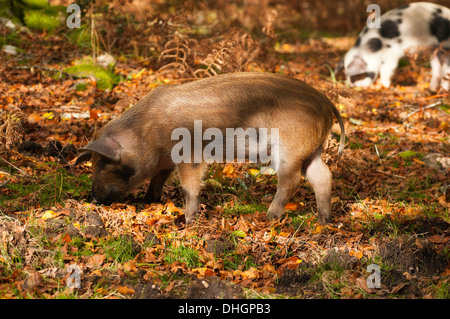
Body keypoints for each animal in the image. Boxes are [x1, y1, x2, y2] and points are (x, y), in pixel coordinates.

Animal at [75, 72, 346, 225]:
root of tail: (326, 101)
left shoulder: (190, 155)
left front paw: (187, 221)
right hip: (312, 150)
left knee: (291, 180)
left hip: (289, 148)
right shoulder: (164, 161)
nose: (94, 197)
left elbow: (189, 186)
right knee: (322, 176)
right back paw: (324, 220)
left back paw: (269, 217)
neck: (145, 133)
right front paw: (148, 201)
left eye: (103, 163)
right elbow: (158, 179)